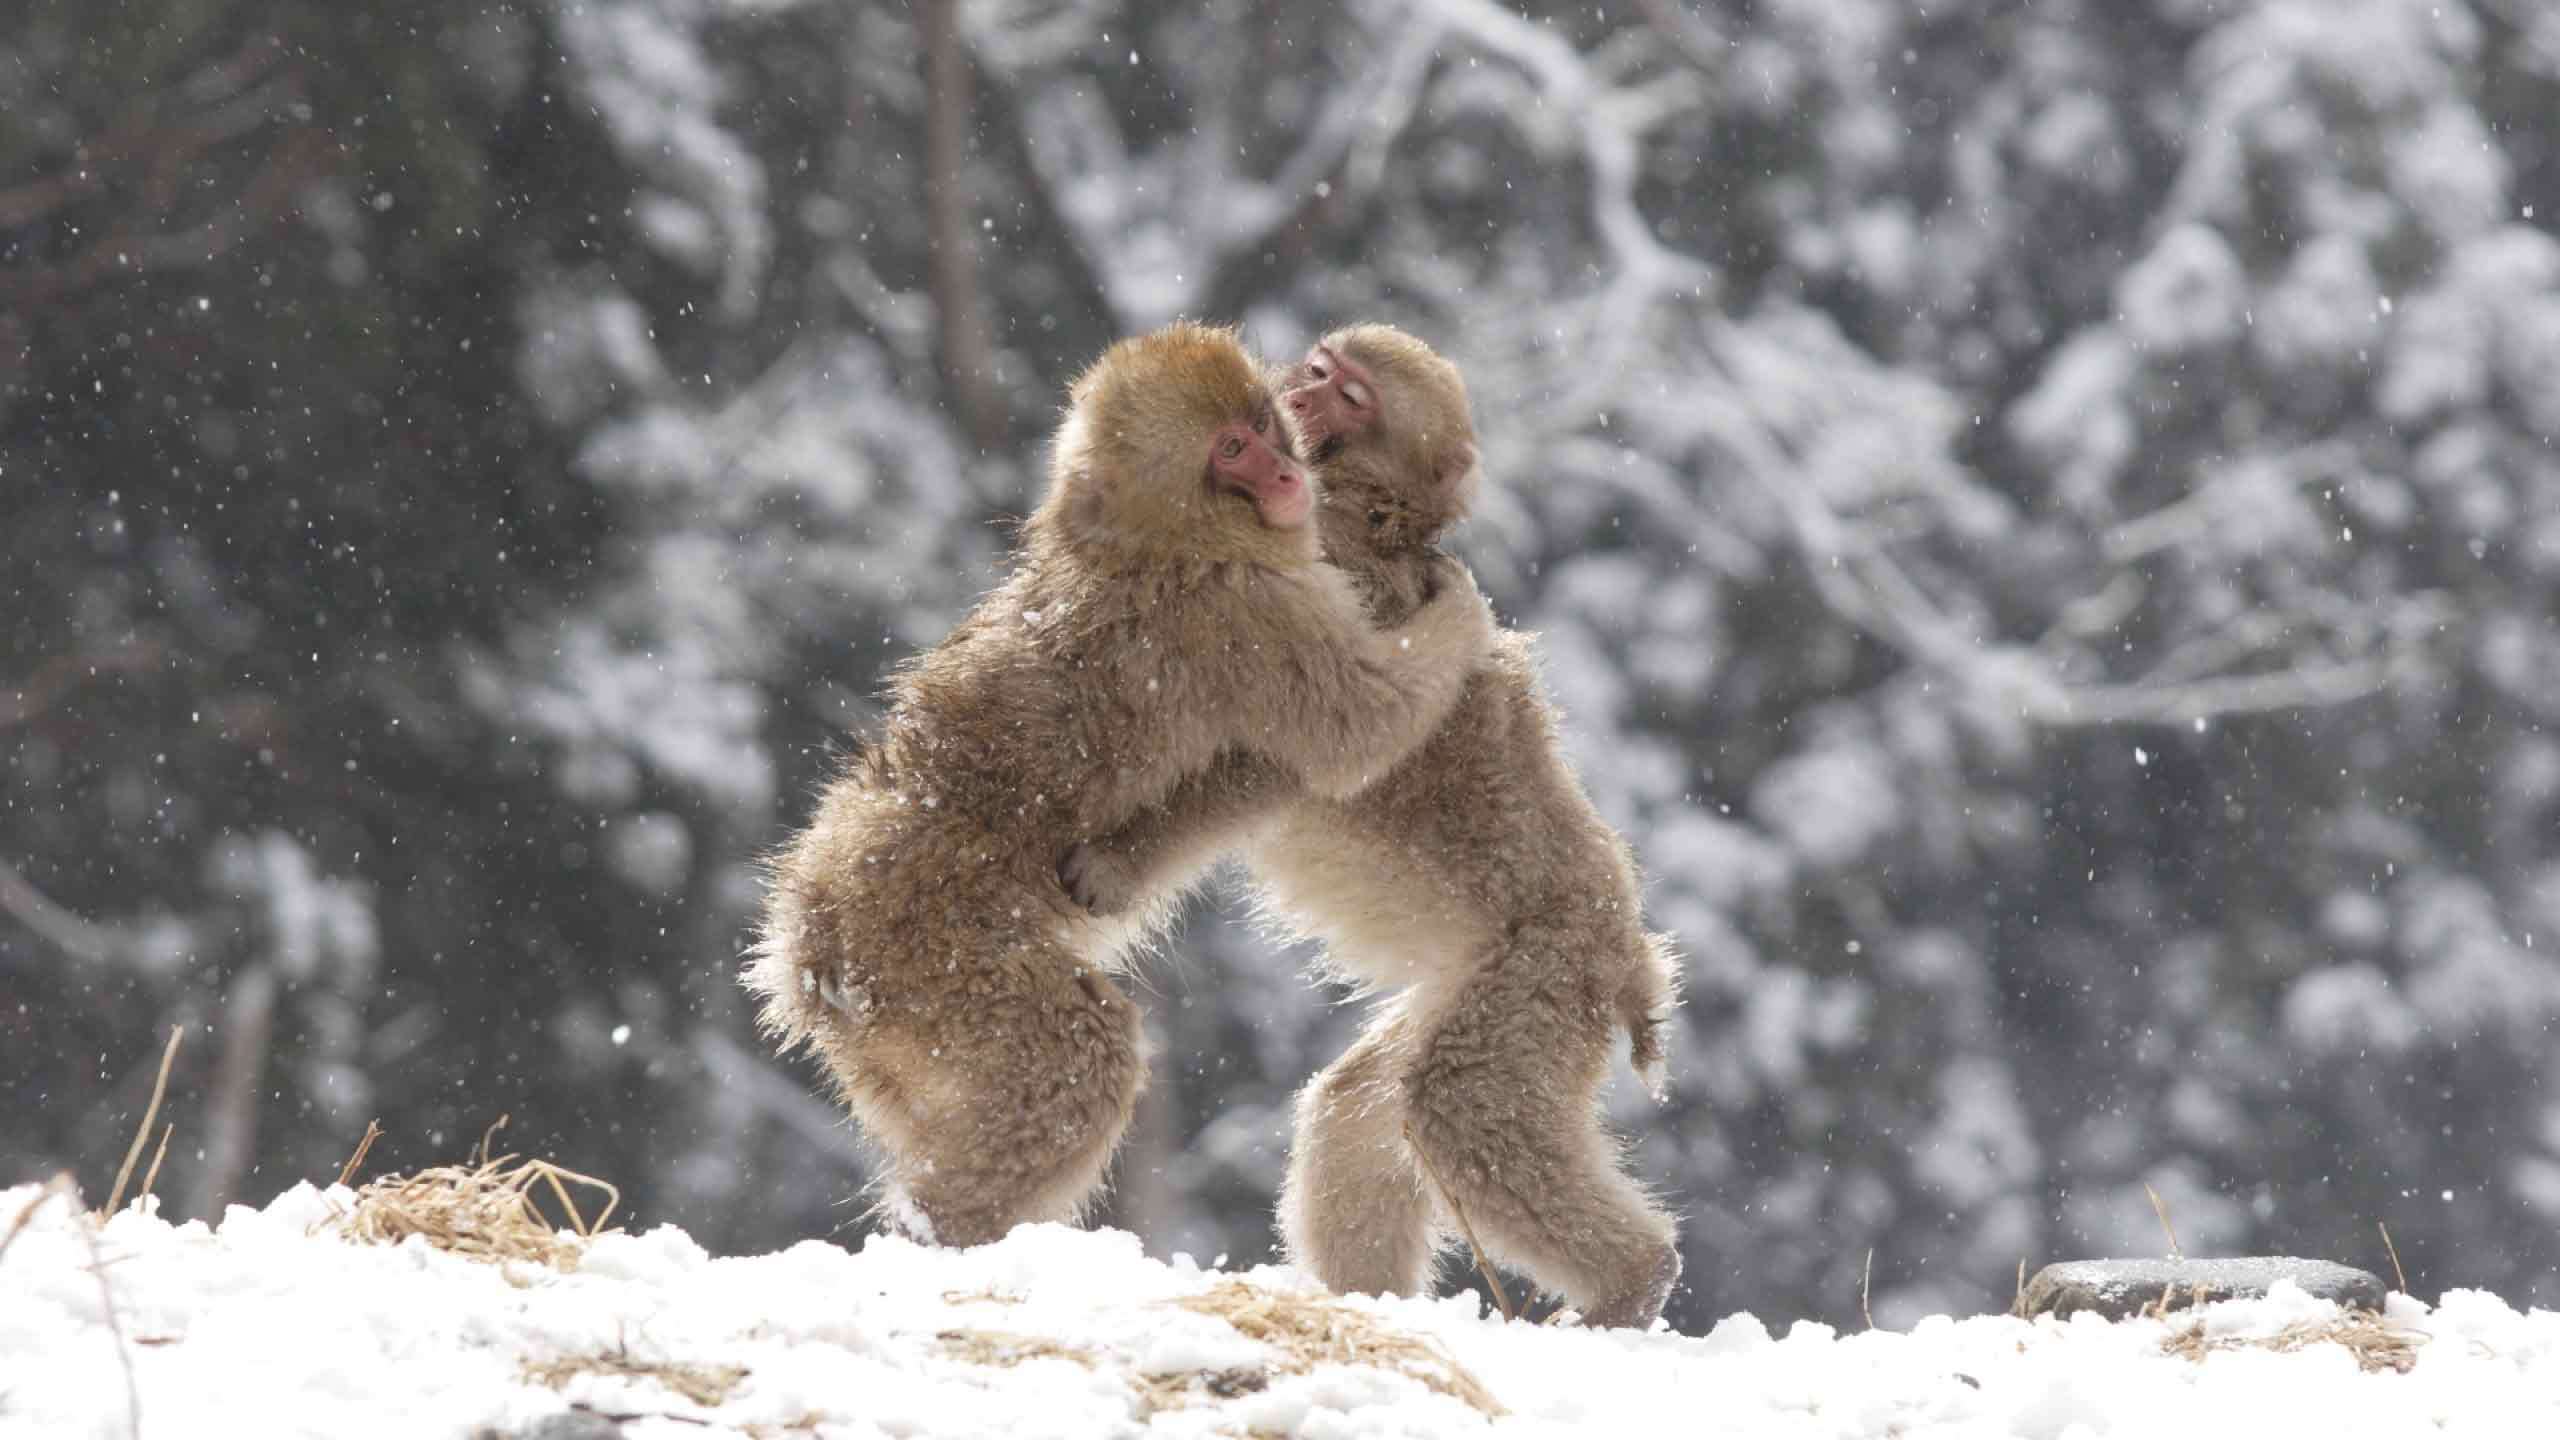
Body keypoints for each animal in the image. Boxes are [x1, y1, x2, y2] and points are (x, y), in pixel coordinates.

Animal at [745, 322, 1498, 1249]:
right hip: (934, 956)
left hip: (884, 1025)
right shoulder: (1245, 609)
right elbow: (1364, 730)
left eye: (1263, 424)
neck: (1164, 538)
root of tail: (806, 940)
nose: (1288, 477)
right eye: (1231, 451)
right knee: (1083, 1062)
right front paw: (1462, 611)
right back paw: (945, 1236)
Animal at [1058, 324, 1683, 1329]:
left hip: (1545, 976)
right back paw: (1370, 1299)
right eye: (1317, 372)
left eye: (1350, 396)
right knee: (1364, 1108)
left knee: (1456, 1107)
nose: (1297, 400)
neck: (1373, 507)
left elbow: (1306, 753)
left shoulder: (1331, 568)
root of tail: (1632, 958)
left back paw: (1634, 1281)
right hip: (1487, 990)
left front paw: (1120, 861)